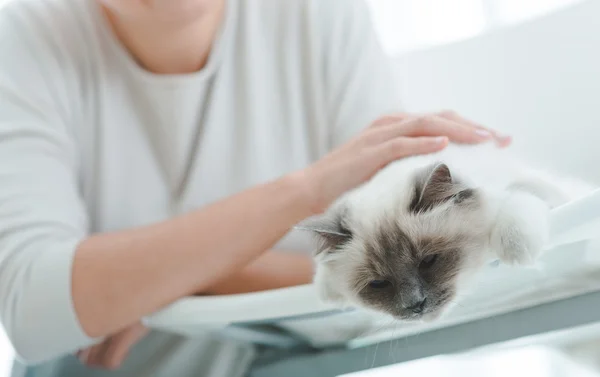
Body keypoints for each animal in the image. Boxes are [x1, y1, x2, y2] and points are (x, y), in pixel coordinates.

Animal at [302, 142, 592, 322]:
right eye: (378, 283)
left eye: (429, 261)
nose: (415, 305)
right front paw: (327, 291)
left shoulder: (532, 186)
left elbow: (516, 199)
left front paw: (515, 249)